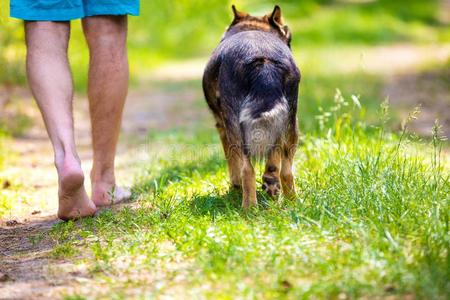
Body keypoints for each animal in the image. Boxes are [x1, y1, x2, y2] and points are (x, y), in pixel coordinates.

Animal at [202, 4, 300, 209]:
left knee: (247, 170)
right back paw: (290, 201)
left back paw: (249, 208)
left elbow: (233, 164)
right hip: (290, 122)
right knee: (283, 170)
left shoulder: (222, 127)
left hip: (236, 128)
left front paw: (235, 186)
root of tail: (262, 60)